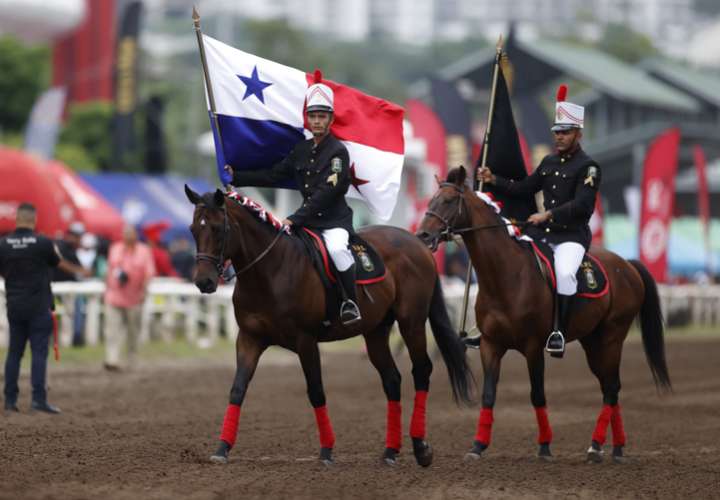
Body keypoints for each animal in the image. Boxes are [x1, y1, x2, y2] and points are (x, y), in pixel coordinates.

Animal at [186, 186, 476, 466]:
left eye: (217, 228)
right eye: (193, 229)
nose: (204, 282)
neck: (270, 270)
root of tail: (416, 242)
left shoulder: (305, 341)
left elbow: (316, 391)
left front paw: (326, 452)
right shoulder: (249, 339)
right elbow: (237, 390)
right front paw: (222, 449)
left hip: (411, 322)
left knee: (422, 371)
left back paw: (421, 447)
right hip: (376, 331)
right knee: (392, 379)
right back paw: (390, 452)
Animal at [414, 169, 672, 464]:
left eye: (447, 201)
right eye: (430, 200)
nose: (422, 235)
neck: (506, 275)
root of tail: (627, 265)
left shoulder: (533, 347)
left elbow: (537, 394)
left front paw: (545, 447)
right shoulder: (491, 345)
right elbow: (488, 394)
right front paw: (477, 446)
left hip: (612, 338)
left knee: (611, 387)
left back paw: (596, 446)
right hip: (593, 343)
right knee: (610, 386)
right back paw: (614, 448)